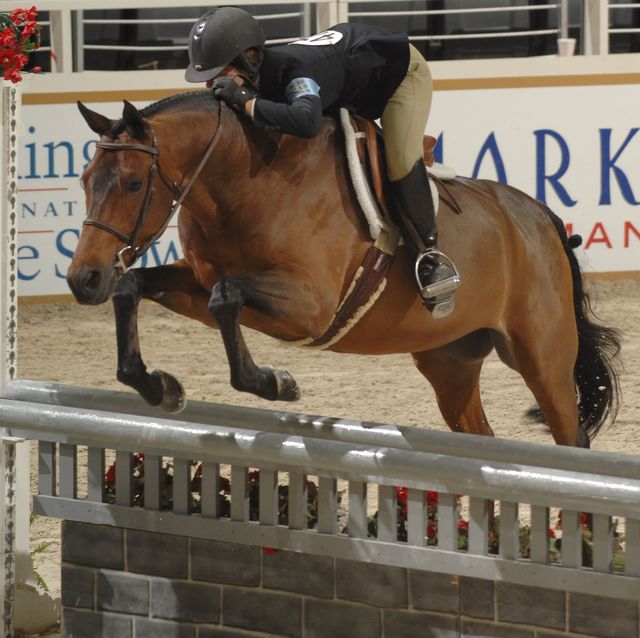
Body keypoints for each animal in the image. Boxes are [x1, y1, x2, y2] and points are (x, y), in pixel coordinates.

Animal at [69, 91, 620, 450]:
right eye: (85, 179)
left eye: (134, 184)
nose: (83, 278)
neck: (245, 183)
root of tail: (539, 217)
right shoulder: (198, 285)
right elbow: (137, 286)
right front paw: (157, 386)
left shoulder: (308, 306)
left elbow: (227, 295)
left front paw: (277, 383)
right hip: (451, 362)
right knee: (479, 436)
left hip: (541, 356)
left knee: (570, 436)